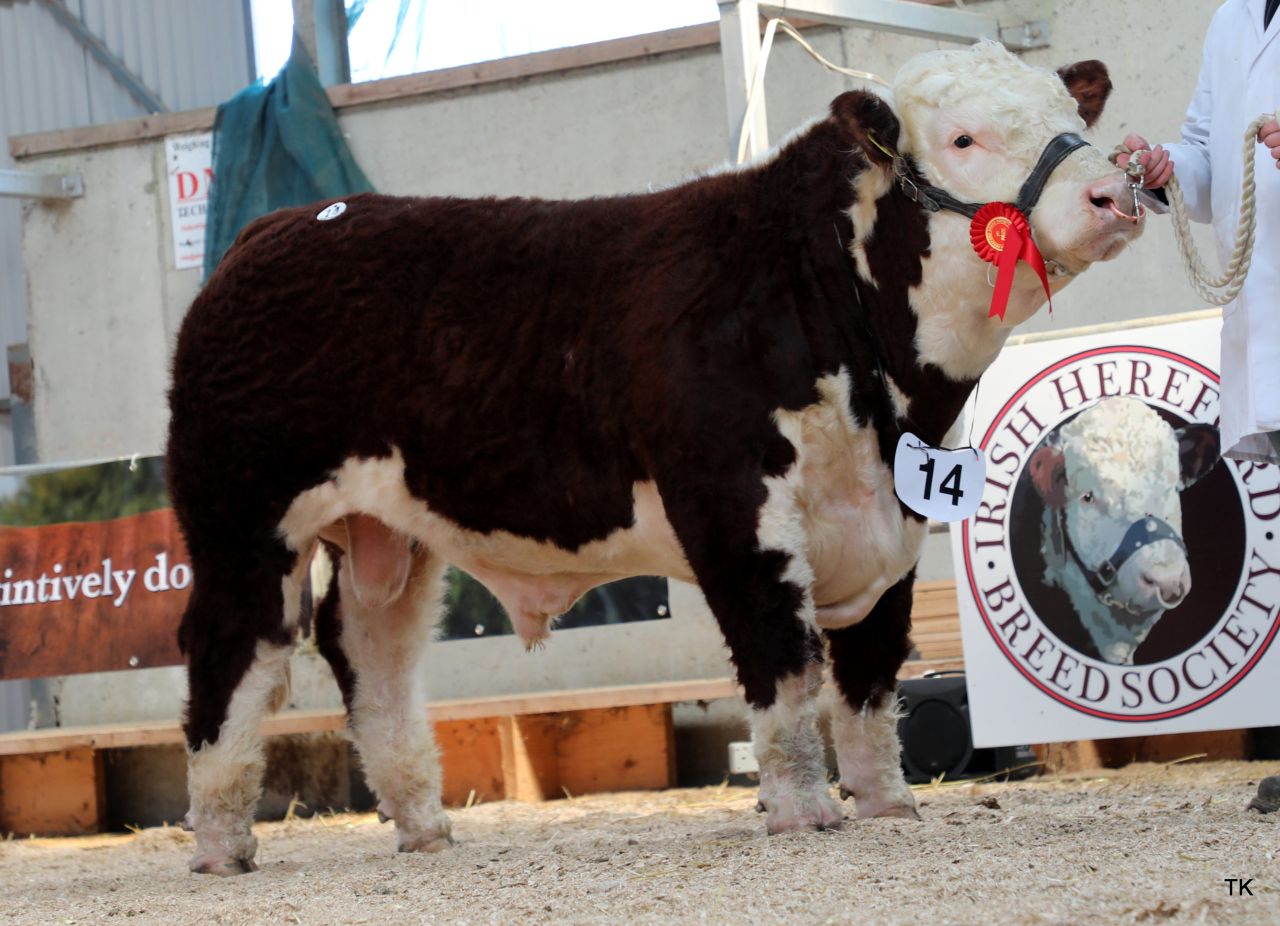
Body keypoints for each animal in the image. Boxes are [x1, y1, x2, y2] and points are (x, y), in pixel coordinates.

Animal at [166, 41, 1143, 875]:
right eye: (963, 137)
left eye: (1072, 116)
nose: (1115, 191)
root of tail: (276, 230)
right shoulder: (733, 508)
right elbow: (786, 670)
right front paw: (803, 812)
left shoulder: (895, 523)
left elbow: (868, 680)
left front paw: (887, 805)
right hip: (240, 521)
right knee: (231, 654)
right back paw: (220, 845)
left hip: (386, 530)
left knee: (373, 654)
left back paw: (424, 827)